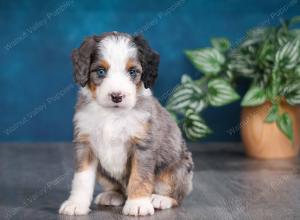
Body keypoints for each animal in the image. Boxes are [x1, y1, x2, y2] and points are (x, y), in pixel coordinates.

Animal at [59, 32, 195, 217]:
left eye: (132, 72)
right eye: (100, 71)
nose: (117, 96)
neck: (112, 114)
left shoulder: (143, 145)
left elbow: (139, 176)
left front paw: (138, 204)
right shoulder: (85, 144)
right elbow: (82, 177)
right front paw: (76, 204)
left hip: (177, 170)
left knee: (177, 195)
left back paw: (160, 199)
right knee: (119, 190)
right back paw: (112, 195)